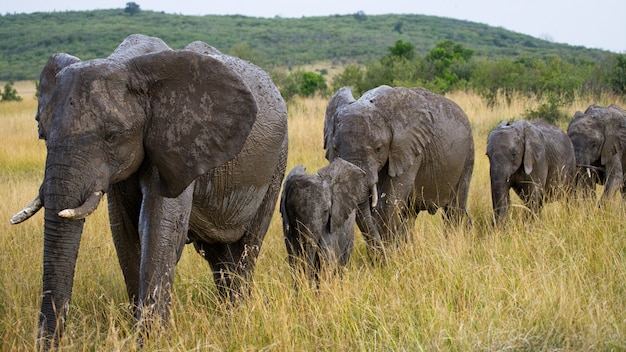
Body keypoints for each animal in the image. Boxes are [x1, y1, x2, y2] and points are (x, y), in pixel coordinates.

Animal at [9, 34, 288, 348]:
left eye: (112, 135)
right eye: (43, 134)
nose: (51, 344)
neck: (124, 63)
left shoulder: (175, 140)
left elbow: (157, 227)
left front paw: (154, 340)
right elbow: (125, 233)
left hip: (277, 163)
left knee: (247, 248)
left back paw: (236, 317)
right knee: (220, 257)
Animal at [322, 86, 472, 254]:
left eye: (378, 148)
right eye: (335, 148)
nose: (379, 255)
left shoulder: (410, 148)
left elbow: (387, 205)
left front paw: (389, 256)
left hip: (467, 156)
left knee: (454, 209)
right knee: (410, 215)